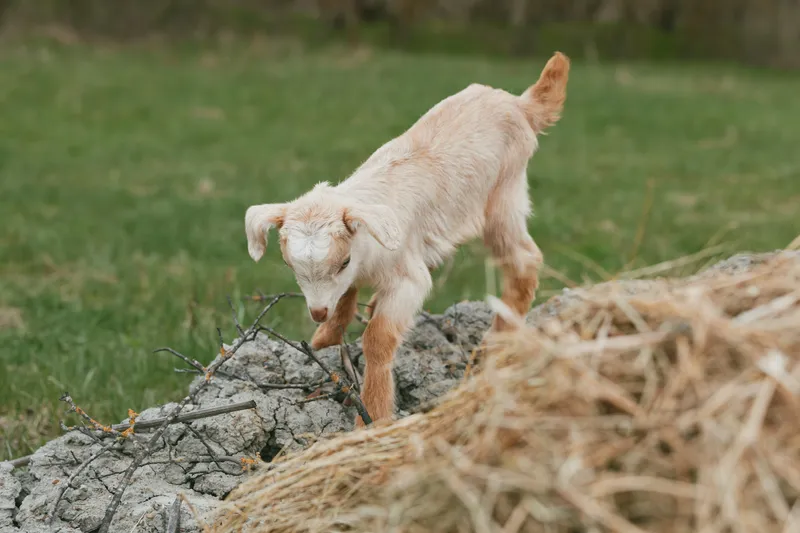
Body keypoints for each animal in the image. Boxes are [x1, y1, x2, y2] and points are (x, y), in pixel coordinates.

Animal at [244, 52, 570, 427]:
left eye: (343, 261)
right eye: (290, 265)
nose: (317, 312)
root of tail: (520, 104)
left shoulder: (408, 281)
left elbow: (378, 337)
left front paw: (373, 416)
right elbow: (347, 296)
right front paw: (324, 339)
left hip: (503, 200)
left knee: (524, 258)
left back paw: (498, 342)